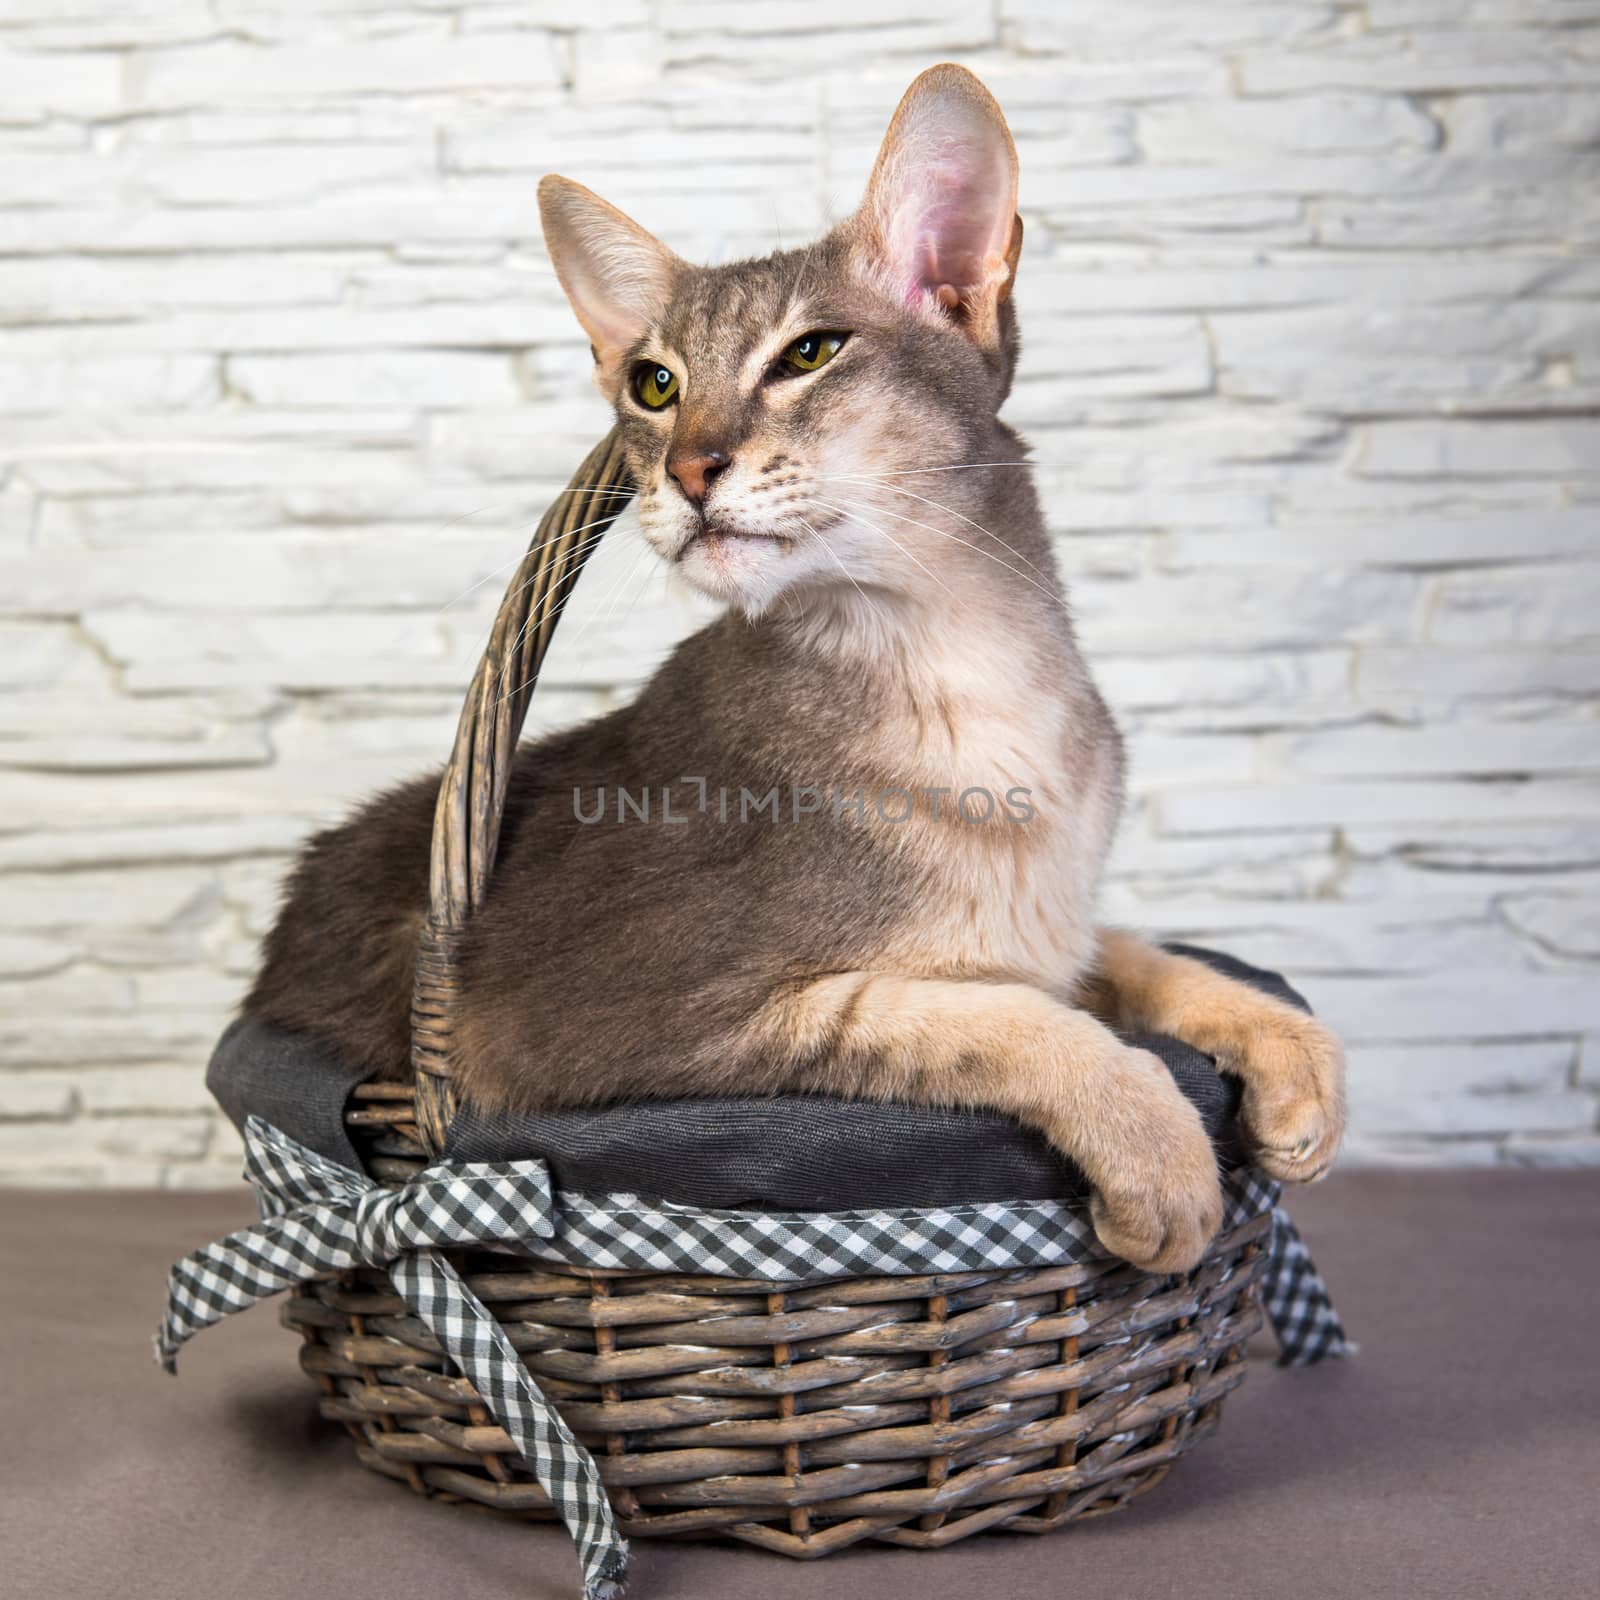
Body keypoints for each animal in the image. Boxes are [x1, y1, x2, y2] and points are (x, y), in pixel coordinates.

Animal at [246, 62, 1337, 1267]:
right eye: (656, 384)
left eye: (809, 353)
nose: (687, 470)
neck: (962, 671)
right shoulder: (589, 1025)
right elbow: (989, 1016)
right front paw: (1156, 1143)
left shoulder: (1048, 928)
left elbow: (1132, 954)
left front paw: (1289, 1047)